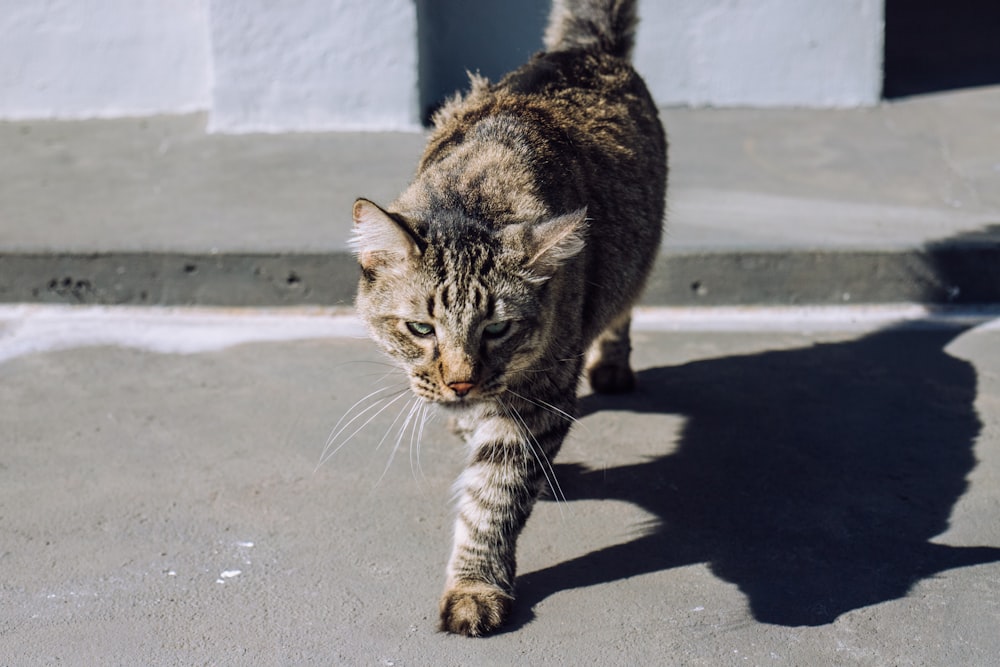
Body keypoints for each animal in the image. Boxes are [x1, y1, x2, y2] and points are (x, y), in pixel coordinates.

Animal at [348, 0, 668, 636]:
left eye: (498, 328)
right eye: (420, 328)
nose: (461, 381)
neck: (475, 195)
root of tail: (583, 48)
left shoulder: (538, 394)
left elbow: (493, 497)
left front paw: (475, 586)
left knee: (621, 309)